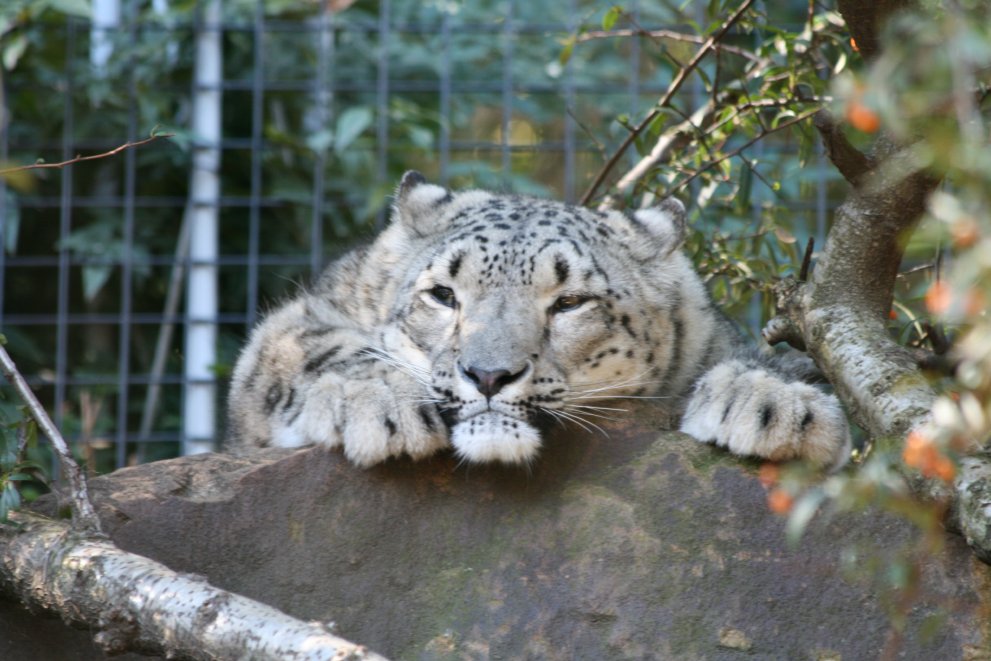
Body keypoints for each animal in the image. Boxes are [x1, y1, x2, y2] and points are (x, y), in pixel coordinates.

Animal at [226, 171, 851, 470]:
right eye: (443, 295)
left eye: (570, 302)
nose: (488, 376)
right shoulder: (297, 321)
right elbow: (315, 346)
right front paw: (381, 403)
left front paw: (775, 406)